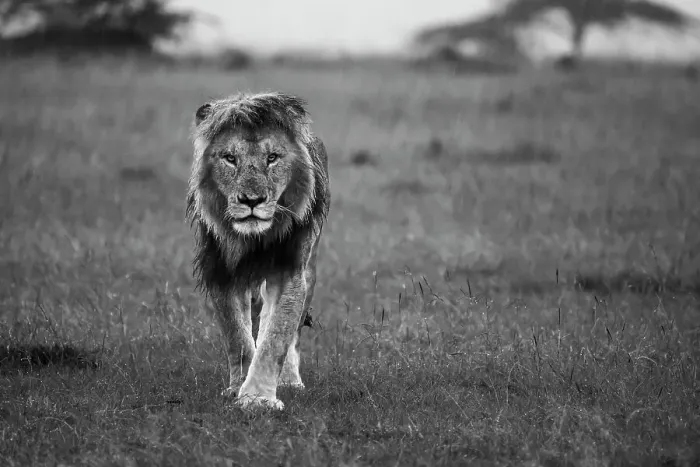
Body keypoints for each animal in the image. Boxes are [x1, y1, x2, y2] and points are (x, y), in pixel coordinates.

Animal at [186, 92, 330, 410]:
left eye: (272, 158)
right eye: (230, 158)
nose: (252, 200)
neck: (253, 239)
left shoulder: (290, 269)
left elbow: (276, 336)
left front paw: (258, 398)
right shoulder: (221, 270)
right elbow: (237, 338)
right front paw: (238, 388)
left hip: (310, 269)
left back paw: (289, 380)